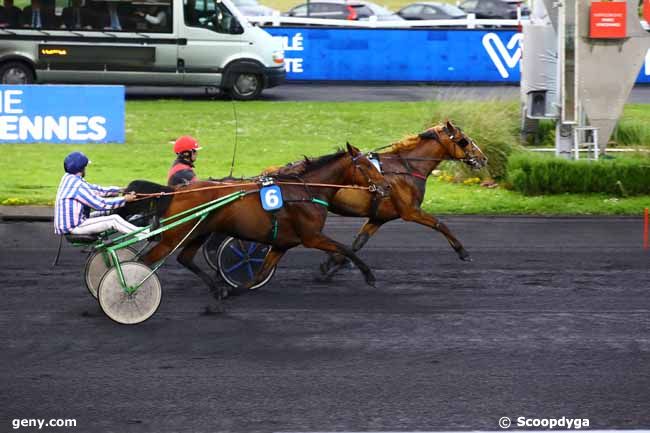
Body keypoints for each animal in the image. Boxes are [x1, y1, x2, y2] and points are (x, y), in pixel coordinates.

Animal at [131, 143, 384, 302]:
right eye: (366, 166)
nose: (385, 186)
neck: (306, 191)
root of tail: (174, 191)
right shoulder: (311, 237)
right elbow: (344, 248)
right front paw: (369, 276)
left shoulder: (282, 244)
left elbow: (260, 274)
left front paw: (231, 292)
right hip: (176, 236)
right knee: (144, 261)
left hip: (198, 233)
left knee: (184, 258)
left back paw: (217, 289)